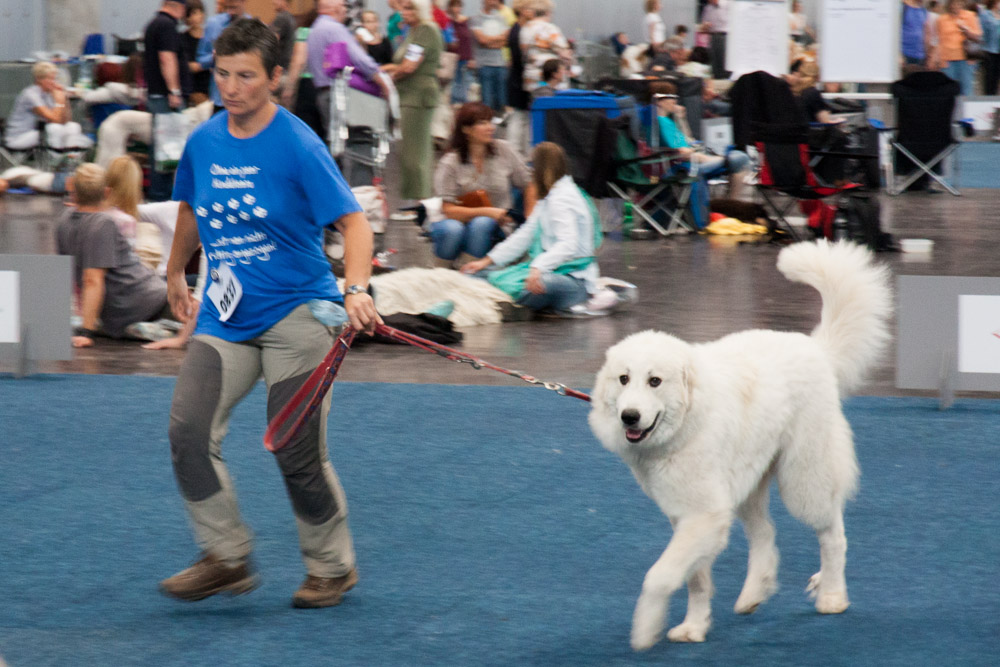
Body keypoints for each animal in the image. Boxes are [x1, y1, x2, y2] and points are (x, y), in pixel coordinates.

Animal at [584, 241, 892, 652]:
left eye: (654, 381)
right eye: (623, 379)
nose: (629, 417)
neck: (688, 422)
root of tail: (815, 347)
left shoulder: (704, 515)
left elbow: (659, 576)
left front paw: (645, 629)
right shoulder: (691, 516)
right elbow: (696, 581)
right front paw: (693, 627)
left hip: (802, 482)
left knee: (833, 534)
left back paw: (830, 595)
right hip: (747, 485)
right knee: (765, 535)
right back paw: (753, 595)